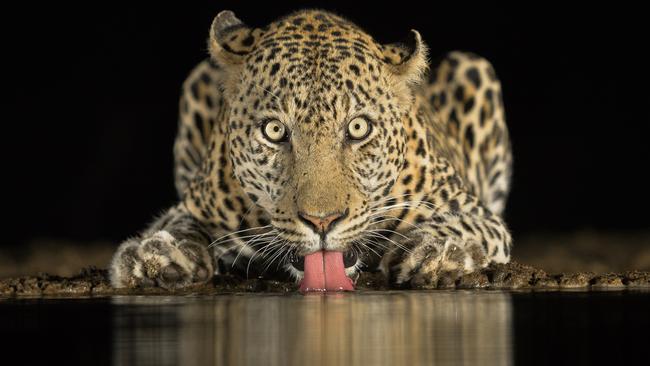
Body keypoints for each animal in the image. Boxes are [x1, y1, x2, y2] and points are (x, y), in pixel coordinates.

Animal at [110, 8, 512, 290]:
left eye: (358, 128)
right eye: (274, 131)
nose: (322, 222)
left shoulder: (471, 208)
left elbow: (466, 225)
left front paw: (437, 250)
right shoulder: (196, 204)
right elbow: (177, 223)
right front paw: (156, 252)